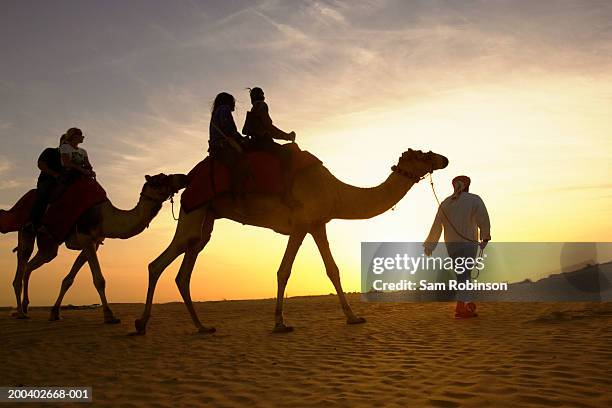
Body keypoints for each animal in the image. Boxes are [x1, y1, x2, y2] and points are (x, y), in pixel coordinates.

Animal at [11, 174, 184, 324]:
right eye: (161, 179)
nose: (182, 177)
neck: (104, 217)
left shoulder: (92, 242)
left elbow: (68, 280)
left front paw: (54, 312)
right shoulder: (86, 237)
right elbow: (99, 280)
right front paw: (109, 315)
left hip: (48, 245)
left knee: (31, 265)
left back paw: (25, 307)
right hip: (26, 230)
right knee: (23, 259)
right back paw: (20, 312)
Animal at [135, 150, 450, 334]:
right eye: (423, 154)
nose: (444, 159)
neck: (337, 192)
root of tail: (189, 180)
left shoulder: (317, 224)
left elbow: (332, 270)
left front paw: (352, 317)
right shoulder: (301, 224)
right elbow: (286, 270)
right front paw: (280, 322)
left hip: (206, 220)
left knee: (183, 268)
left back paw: (200, 326)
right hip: (195, 211)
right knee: (159, 263)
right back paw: (142, 323)